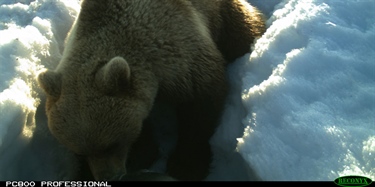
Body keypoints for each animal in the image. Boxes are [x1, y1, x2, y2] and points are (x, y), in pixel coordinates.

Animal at [36, 0, 266, 181]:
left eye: (111, 144)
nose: (108, 176)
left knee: (243, 29)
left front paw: (186, 165)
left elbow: (201, 106)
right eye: (79, 152)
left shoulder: (179, 52)